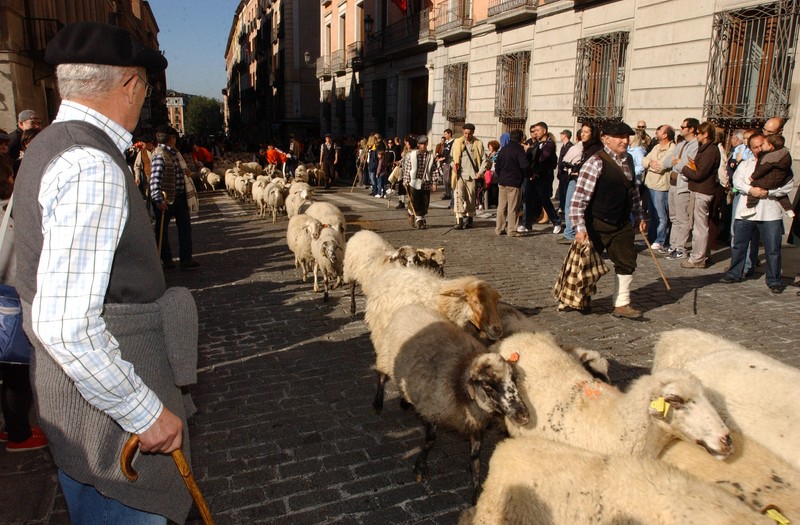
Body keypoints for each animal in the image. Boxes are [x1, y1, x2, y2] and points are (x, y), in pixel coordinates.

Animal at [378, 302, 528, 504]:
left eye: (513, 378)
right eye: (488, 386)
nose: (524, 415)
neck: (458, 376)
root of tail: (409, 306)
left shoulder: (474, 423)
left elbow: (476, 459)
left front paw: (475, 495)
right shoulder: (432, 409)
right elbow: (430, 441)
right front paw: (420, 467)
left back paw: (405, 401)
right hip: (386, 357)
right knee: (381, 376)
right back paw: (378, 403)